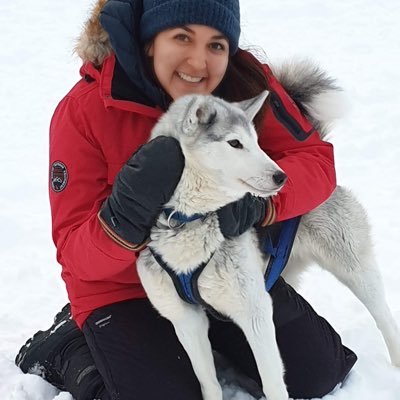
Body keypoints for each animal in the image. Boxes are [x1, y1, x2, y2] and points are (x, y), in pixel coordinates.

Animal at [136, 60, 398, 400]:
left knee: (385, 318)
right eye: (235, 143)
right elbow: (208, 381)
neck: (192, 220)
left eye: (257, 142)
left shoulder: (256, 313)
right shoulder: (186, 320)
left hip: (355, 270)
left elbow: (273, 382)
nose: (281, 176)